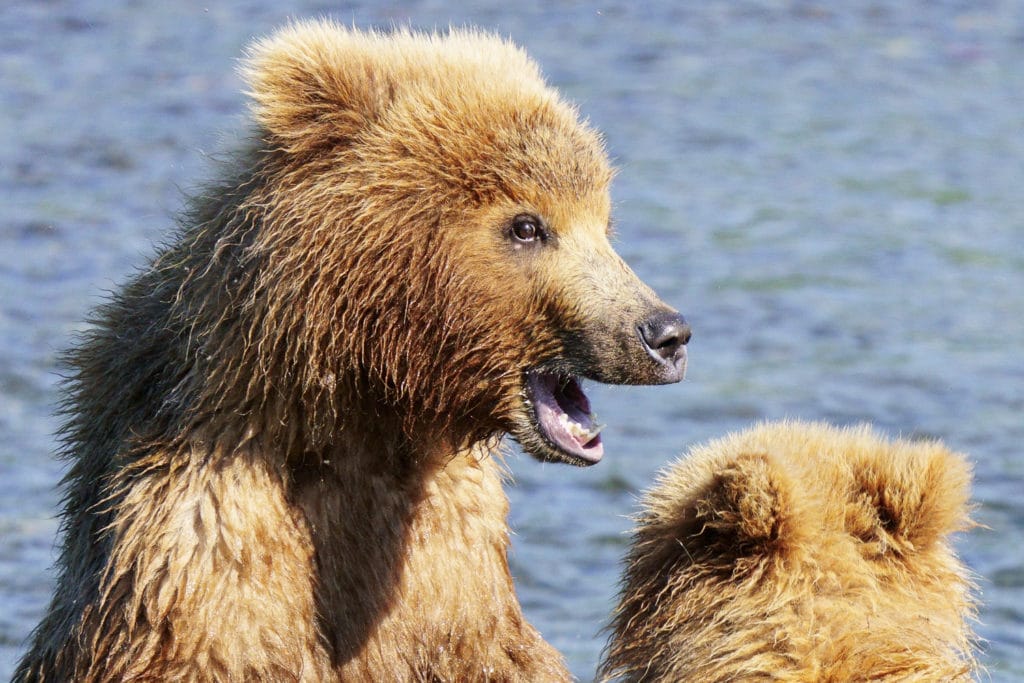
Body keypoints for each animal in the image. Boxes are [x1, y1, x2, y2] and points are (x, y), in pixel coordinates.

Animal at [14, 18, 688, 679]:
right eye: (528, 225)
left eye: (604, 223)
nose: (665, 333)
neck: (366, 408)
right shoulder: (206, 526)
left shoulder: (450, 553)